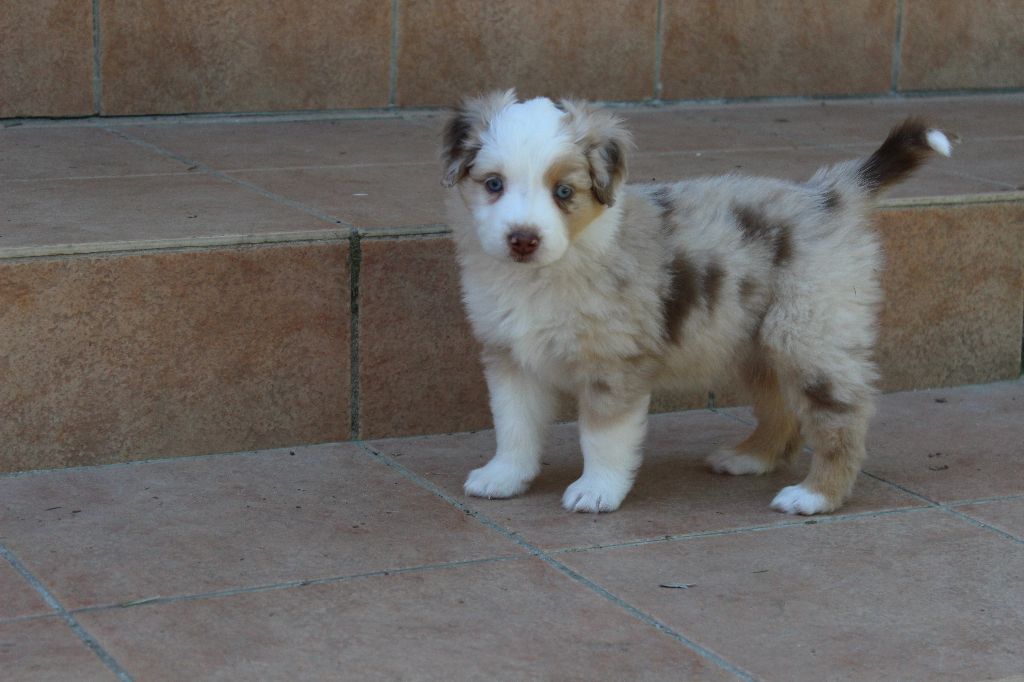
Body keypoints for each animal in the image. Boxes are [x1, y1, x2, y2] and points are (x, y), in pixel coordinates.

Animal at [440, 89, 951, 515]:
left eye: (563, 192)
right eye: (493, 184)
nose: (522, 239)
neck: (545, 273)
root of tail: (828, 196)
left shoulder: (615, 363)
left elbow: (602, 436)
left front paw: (597, 491)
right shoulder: (509, 355)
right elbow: (514, 425)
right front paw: (504, 477)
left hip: (808, 332)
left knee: (843, 415)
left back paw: (815, 495)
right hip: (757, 344)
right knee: (781, 408)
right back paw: (749, 458)